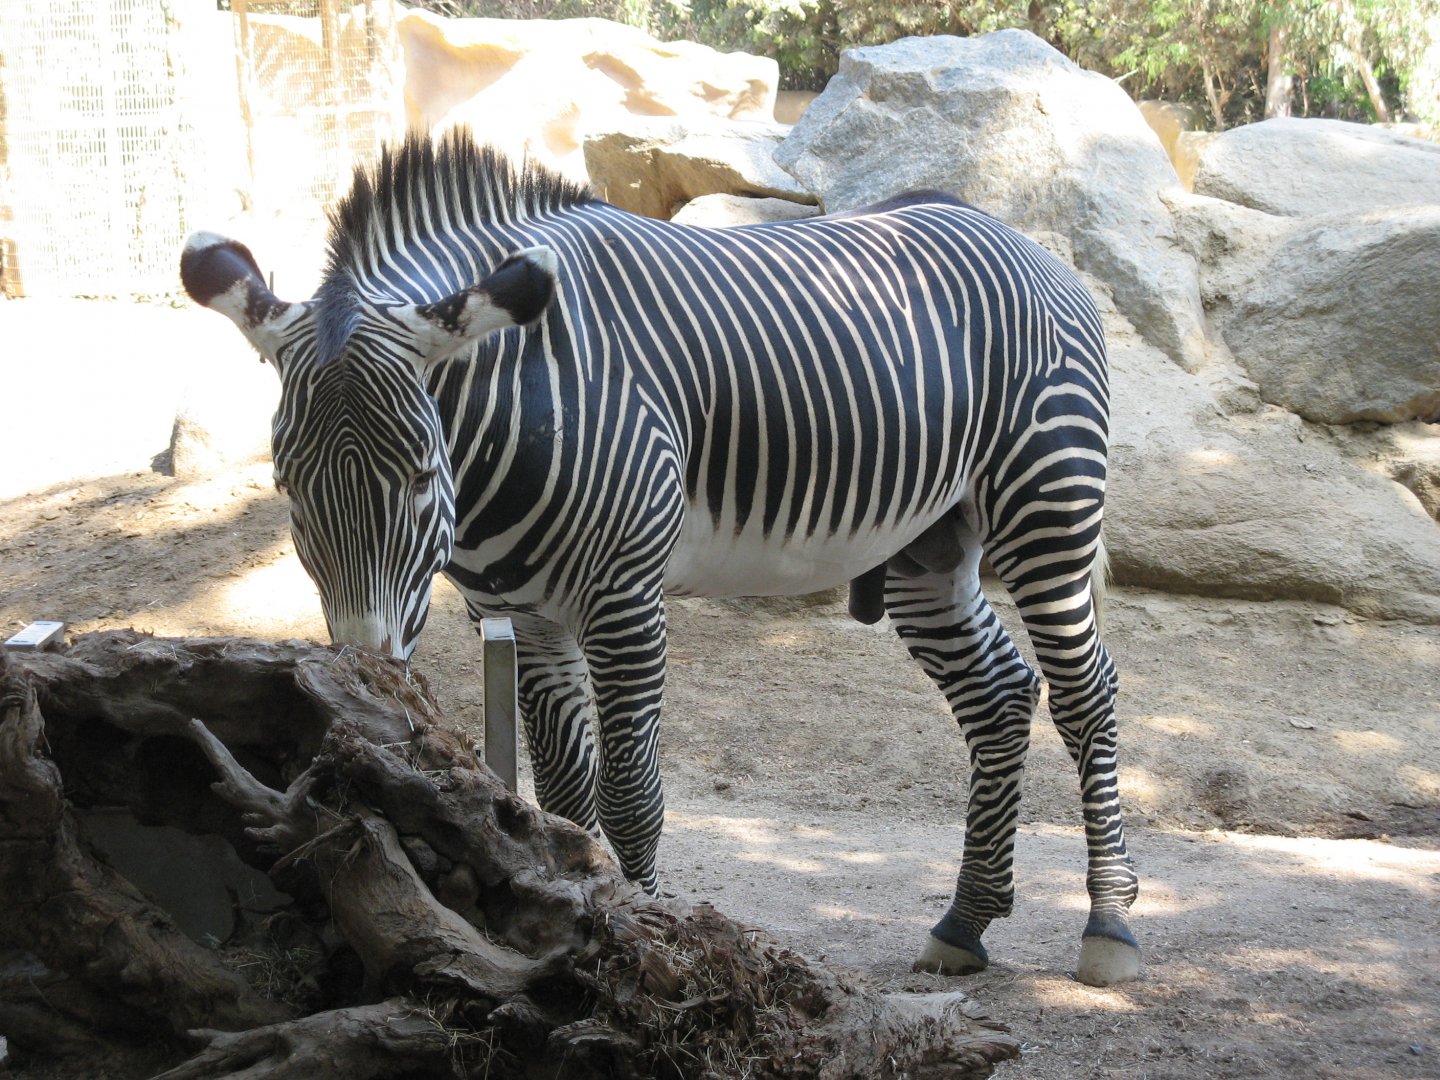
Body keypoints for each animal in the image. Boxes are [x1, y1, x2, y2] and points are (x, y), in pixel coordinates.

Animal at [180, 129, 1140, 986]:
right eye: (288, 487)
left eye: (421, 475)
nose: (365, 676)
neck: (522, 400)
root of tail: (1017, 238)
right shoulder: (525, 614)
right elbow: (559, 798)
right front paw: (563, 919)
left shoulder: (624, 598)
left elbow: (629, 796)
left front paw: (647, 950)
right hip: (927, 545)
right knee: (1001, 695)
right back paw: (966, 923)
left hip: (1047, 503)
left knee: (1087, 693)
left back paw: (1110, 925)